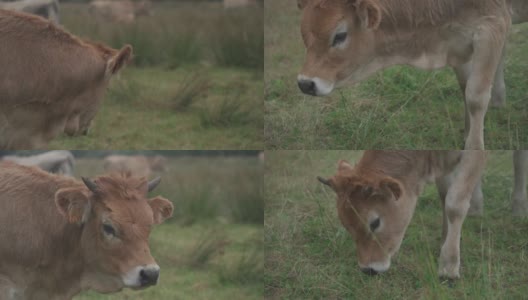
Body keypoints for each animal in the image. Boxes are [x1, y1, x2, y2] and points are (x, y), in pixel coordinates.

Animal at [296, 0, 528, 150]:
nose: (305, 83)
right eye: (304, 35)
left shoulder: (492, 26)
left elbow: (476, 97)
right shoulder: (459, 45)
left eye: (340, 35)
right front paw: (466, 133)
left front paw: (475, 146)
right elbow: (465, 88)